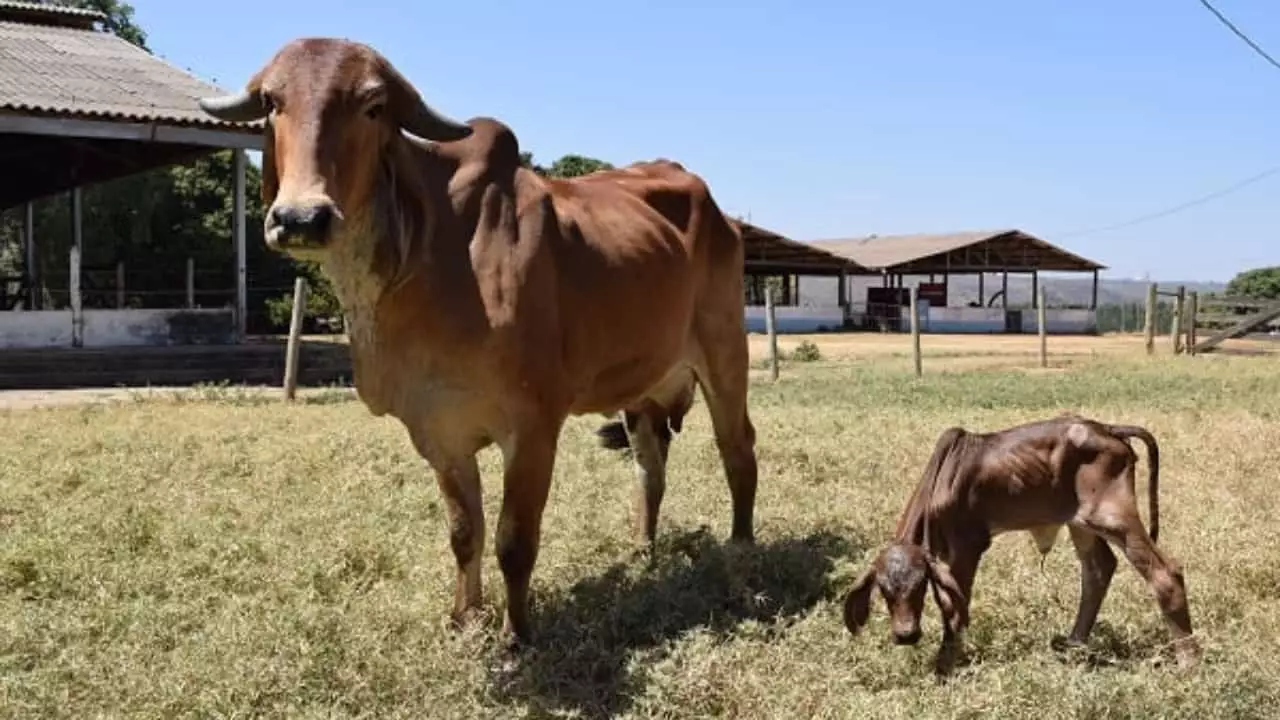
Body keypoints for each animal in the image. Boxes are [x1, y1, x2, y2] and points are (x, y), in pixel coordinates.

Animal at [196, 37, 759, 647]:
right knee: (650, 467)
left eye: (373, 106)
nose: (302, 218)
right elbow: (466, 531)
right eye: (273, 103)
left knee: (738, 452)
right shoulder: (437, 430)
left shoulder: (532, 426)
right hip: (644, 390)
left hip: (725, 354)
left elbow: (515, 541)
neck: (426, 260)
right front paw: (464, 617)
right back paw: (643, 550)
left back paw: (742, 552)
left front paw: (517, 633)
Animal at [841, 415, 1200, 672]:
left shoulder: (968, 545)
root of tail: (1108, 428)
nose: (906, 635)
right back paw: (1074, 645)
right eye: (884, 590)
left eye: (919, 586)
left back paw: (1188, 661)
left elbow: (953, 606)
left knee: (1165, 573)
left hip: (1113, 516)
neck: (942, 480)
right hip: (1080, 522)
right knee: (1099, 569)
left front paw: (945, 663)